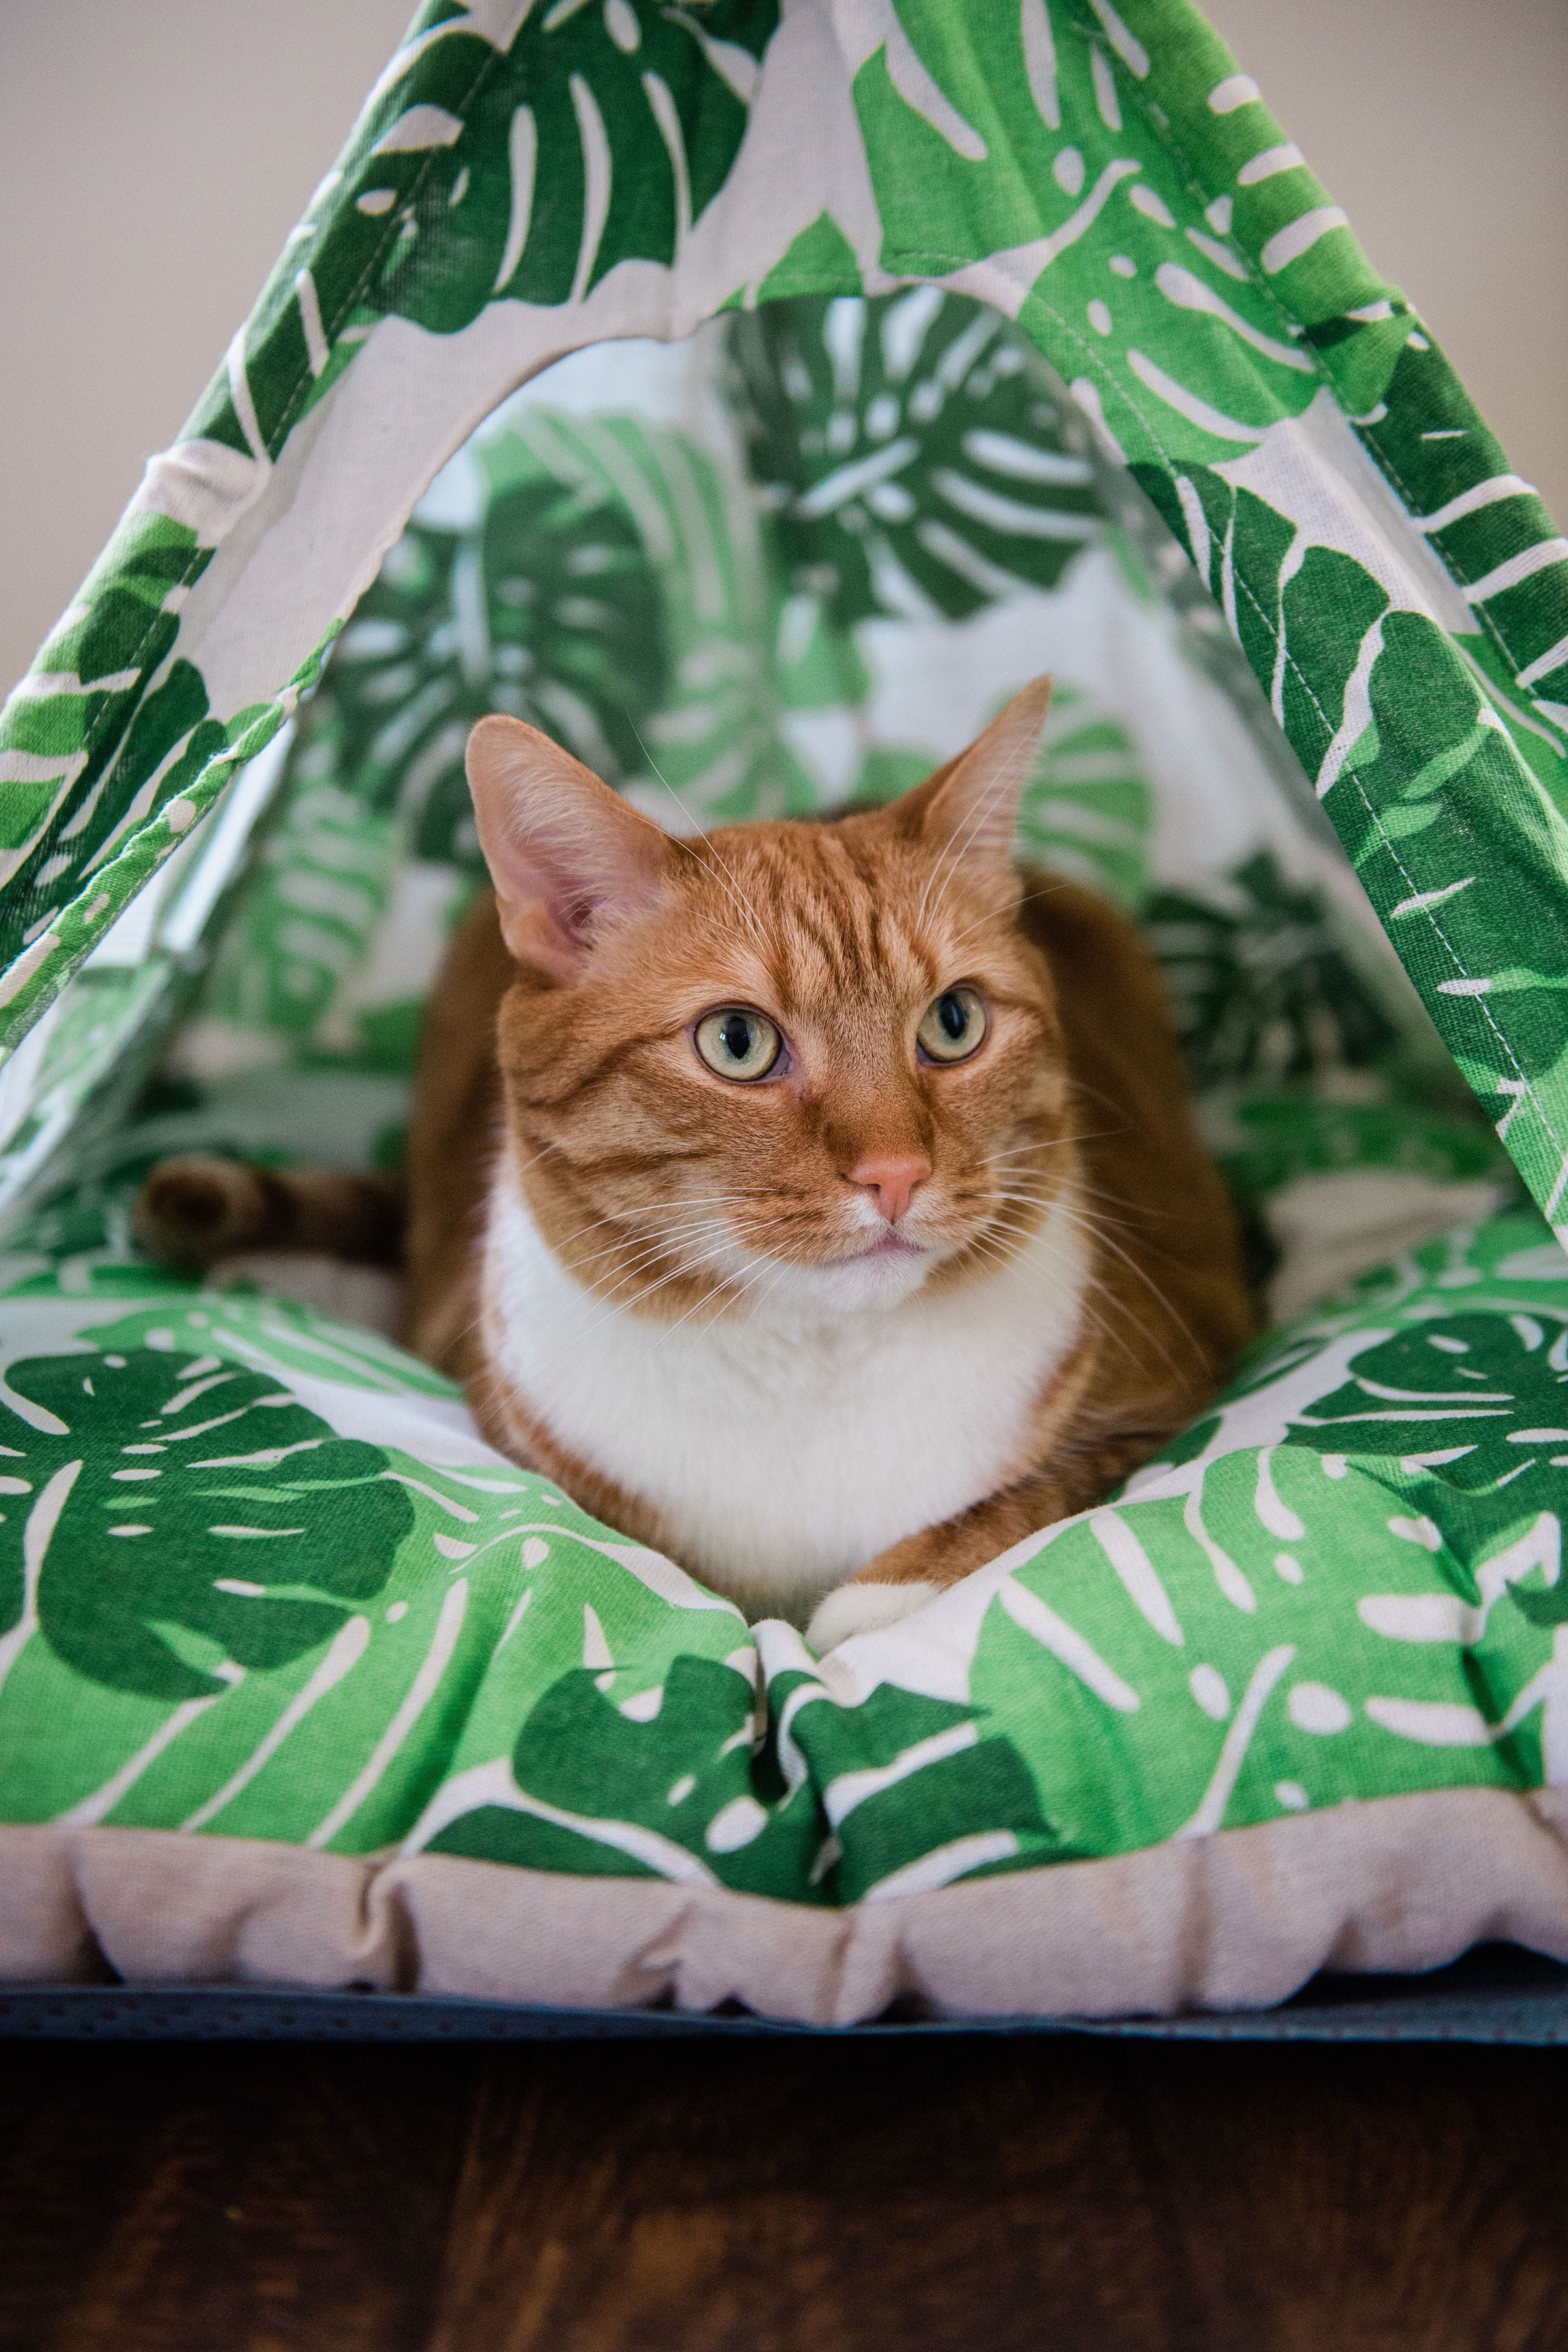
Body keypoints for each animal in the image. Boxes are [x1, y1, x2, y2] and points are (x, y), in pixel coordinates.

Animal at [140, 672, 1260, 1646]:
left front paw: (879, 1600)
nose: (897, 1173)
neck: (809, 1368)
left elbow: (1043, 1494)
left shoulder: (1185, 1372)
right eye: (738, 1043)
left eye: (953, 1024)